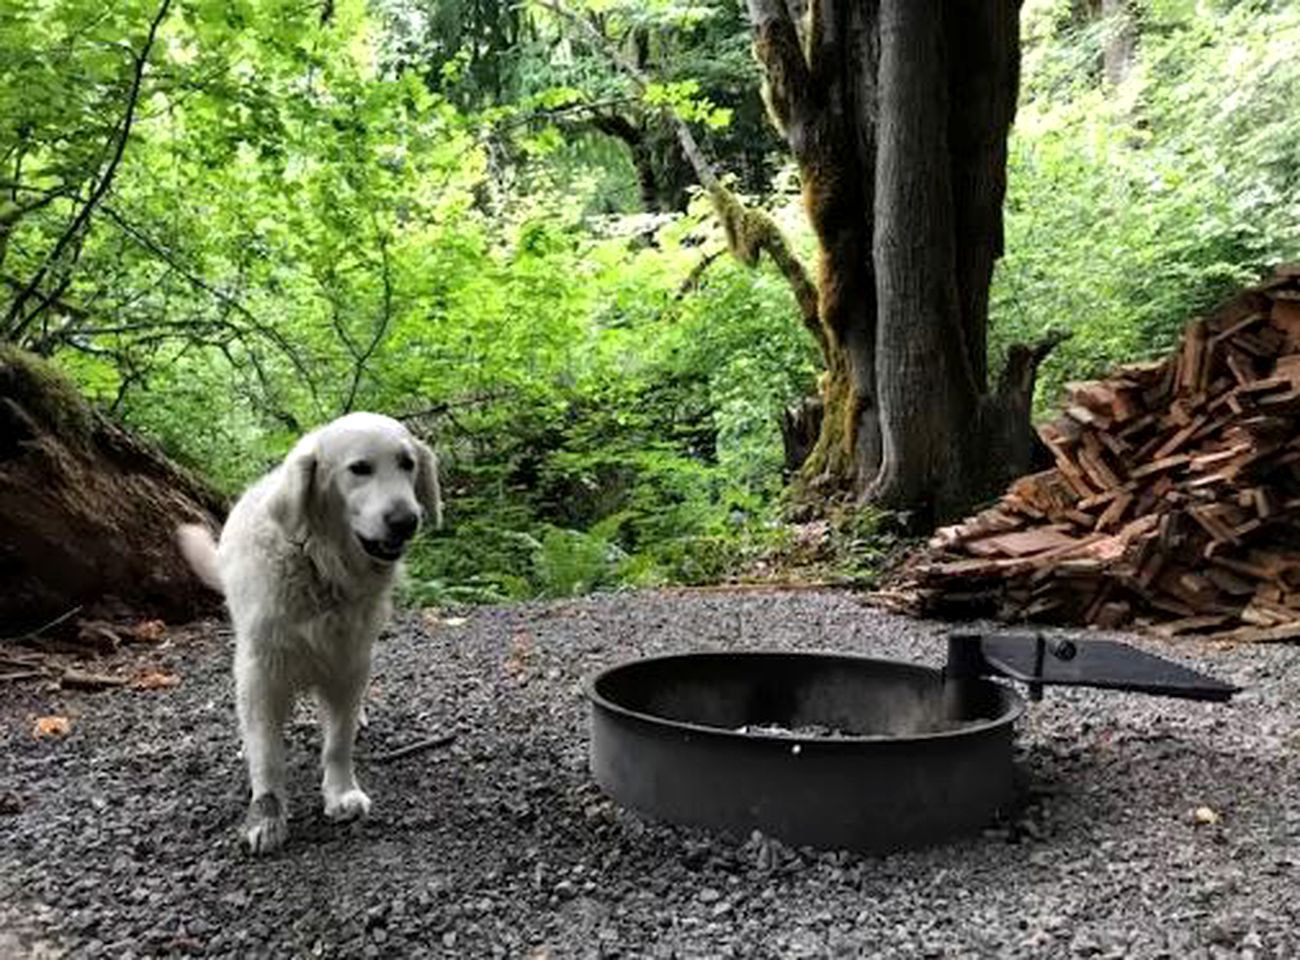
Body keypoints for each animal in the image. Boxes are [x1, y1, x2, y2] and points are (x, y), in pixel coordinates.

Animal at [178, 411, 441, 853]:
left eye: (407, 463)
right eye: (360, 468)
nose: (406, 521)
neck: (321, 567)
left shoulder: (349, 663)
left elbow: (337, 741)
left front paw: (341, 793)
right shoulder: (261, 671)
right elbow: (266, 754)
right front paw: (266, 816)